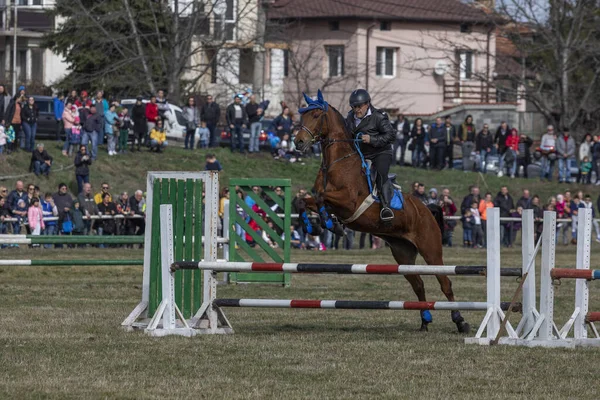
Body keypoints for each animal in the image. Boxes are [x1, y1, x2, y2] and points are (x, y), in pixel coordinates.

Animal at [292, 91, 472, 334]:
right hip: (403, 253)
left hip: (431, 250)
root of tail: (427, 208)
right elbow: (305, 200)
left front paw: (330, 225)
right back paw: (425, 320)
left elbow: (321, 198)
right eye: (303, 113)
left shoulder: (348, 202)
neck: (336, 162)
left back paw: (460, 321)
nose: (298, 141)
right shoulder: (328, 200)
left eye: (317, 114)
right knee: (418, 284)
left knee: (445, 283)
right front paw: (314, 225)